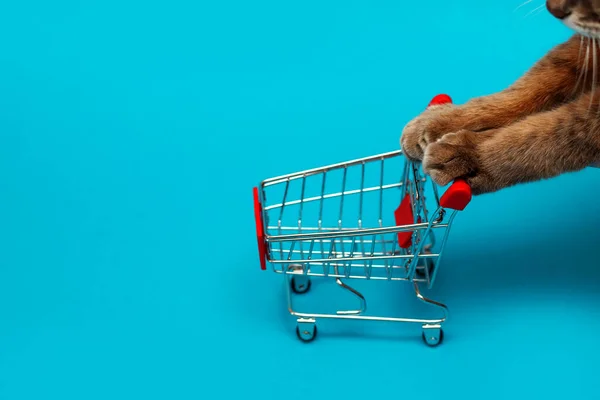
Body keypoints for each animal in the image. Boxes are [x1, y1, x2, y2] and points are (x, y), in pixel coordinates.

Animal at [400, 0, 600, 195]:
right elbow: (531, 86)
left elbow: (560, 131)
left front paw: (474, 156)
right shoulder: (584, 47)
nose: (552, 9)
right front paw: (439, 120)